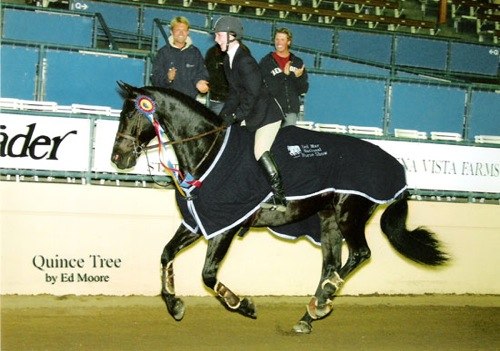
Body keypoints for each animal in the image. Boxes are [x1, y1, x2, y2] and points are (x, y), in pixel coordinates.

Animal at [111, 82, 448, 336]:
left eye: (131, 113)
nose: (118, 158)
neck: (208, 151)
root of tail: (394, 166)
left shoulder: (226, 225)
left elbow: (207, 275)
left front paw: (243, 305)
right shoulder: (200, 222)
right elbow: (166, 254)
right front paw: (175, 305)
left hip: (349, 213)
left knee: (359, 255)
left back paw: (320, 303)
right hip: (328, 220)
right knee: (331, 265)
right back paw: (311, 313)